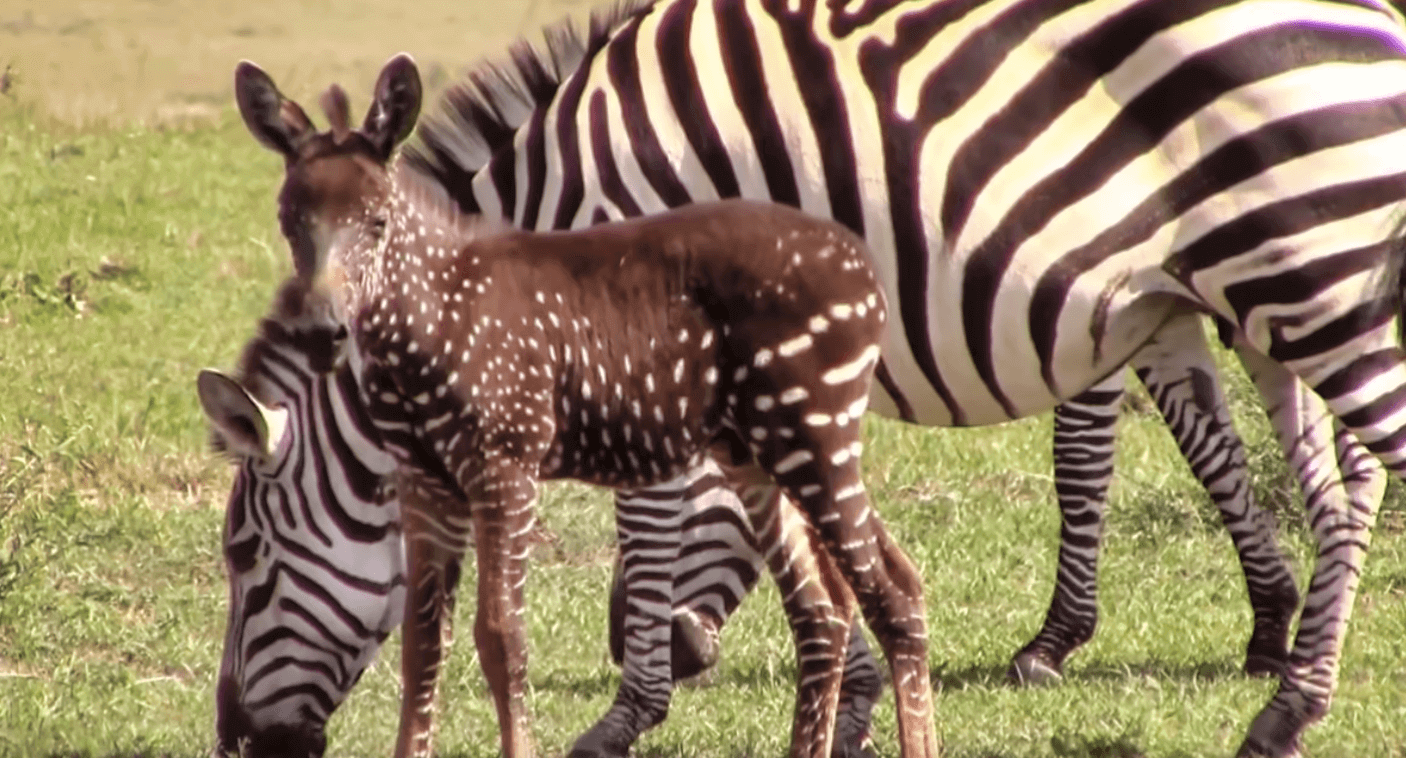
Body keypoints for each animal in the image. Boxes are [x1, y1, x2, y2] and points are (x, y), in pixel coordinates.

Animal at [227, 54, 944, 758]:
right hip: (757, 451)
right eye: (288, 222)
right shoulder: (424, 482)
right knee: (831, 606)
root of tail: (865, 269)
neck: (426, 328)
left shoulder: (505, 465)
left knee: (887, 594)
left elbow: (501, 638)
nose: (323, 332)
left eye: (377, 223)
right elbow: (423, 645)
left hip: (813, 433)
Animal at [390, 2, 1406, 753]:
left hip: (1299, 274)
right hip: (1279, 285)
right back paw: (1291, 698)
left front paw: (628, 713)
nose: (668, 653)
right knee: (1342, 472)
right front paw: (858, 700)